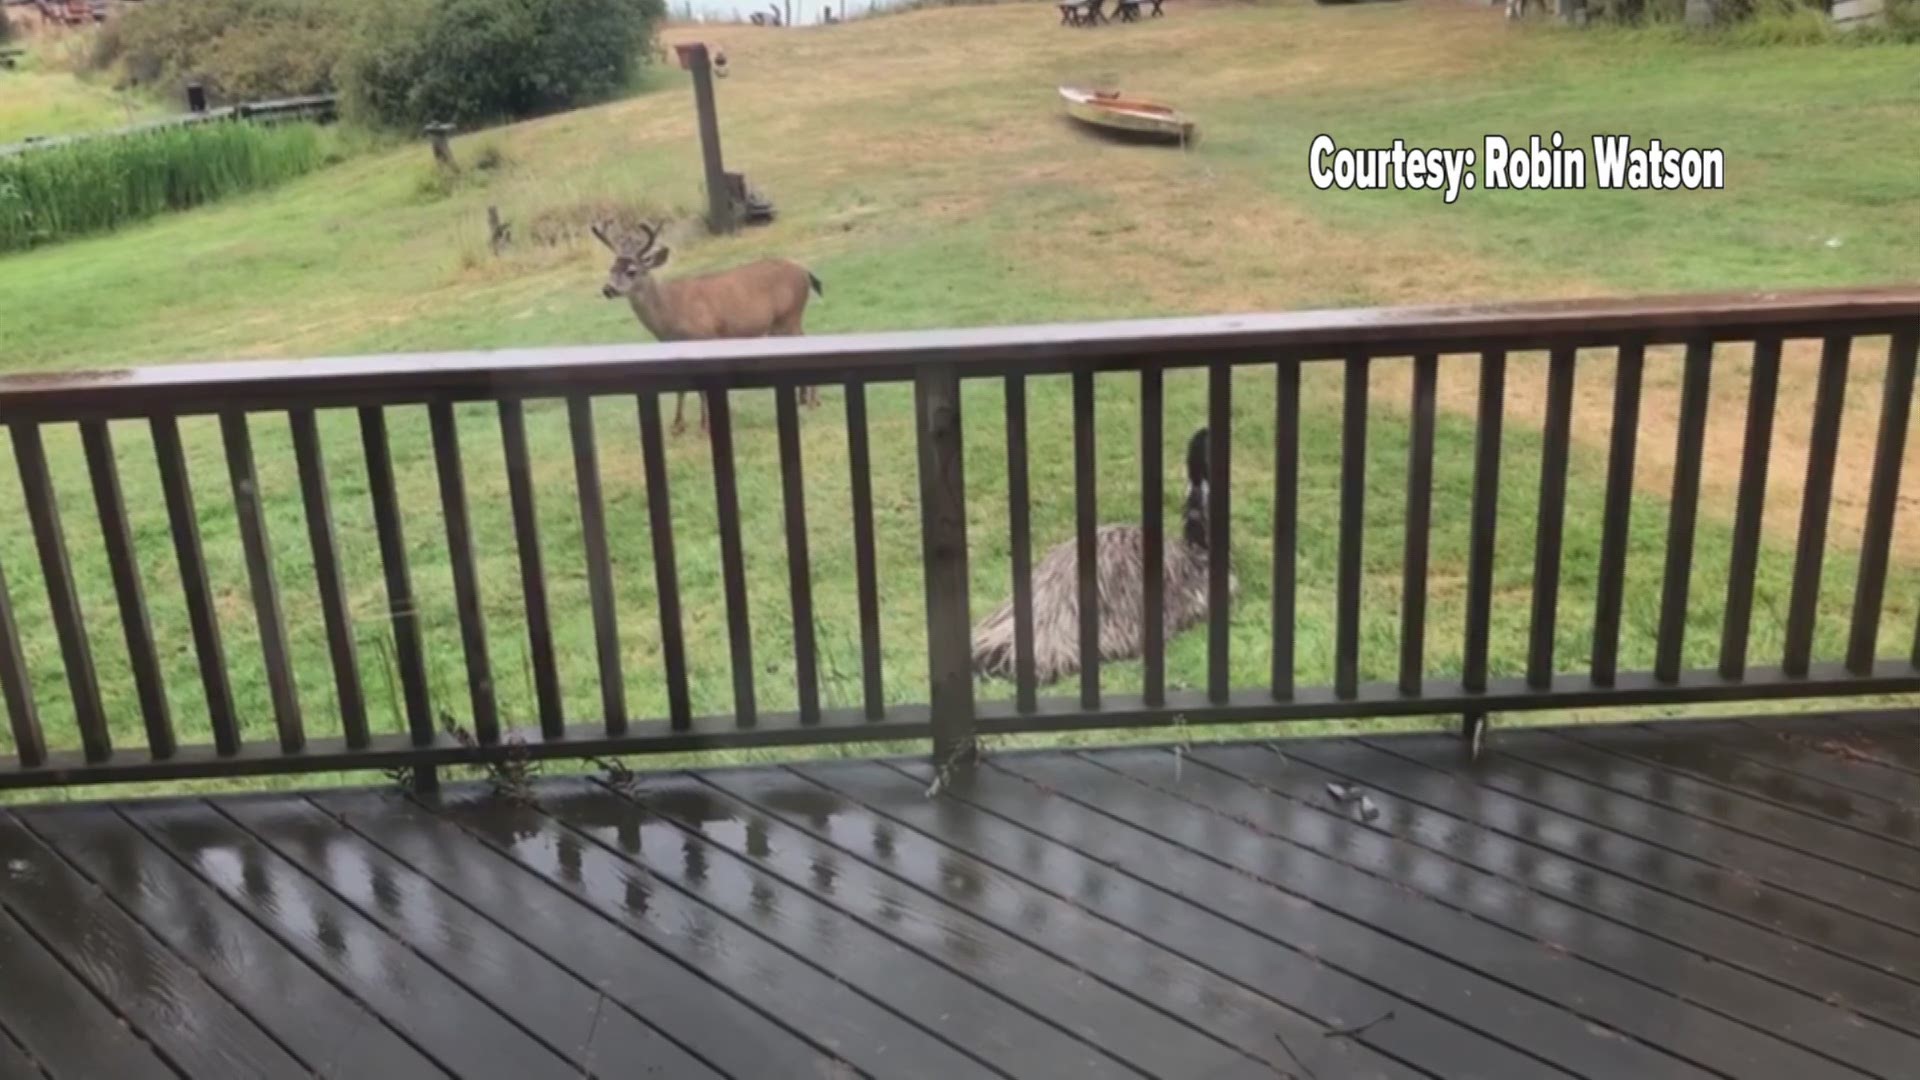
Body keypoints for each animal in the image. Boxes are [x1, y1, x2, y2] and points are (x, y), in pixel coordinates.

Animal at [587, 219, 821, 432]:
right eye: (611, 268)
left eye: (632, 271)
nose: (608, 289)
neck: (670, 312)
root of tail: (804, 271)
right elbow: (681, 387)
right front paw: (677, 425)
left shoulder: (704, 336)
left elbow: (701, 389)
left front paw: (705, 424)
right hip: (780, 324)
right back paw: (803, 398)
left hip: (789, 315)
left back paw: (812, 401)